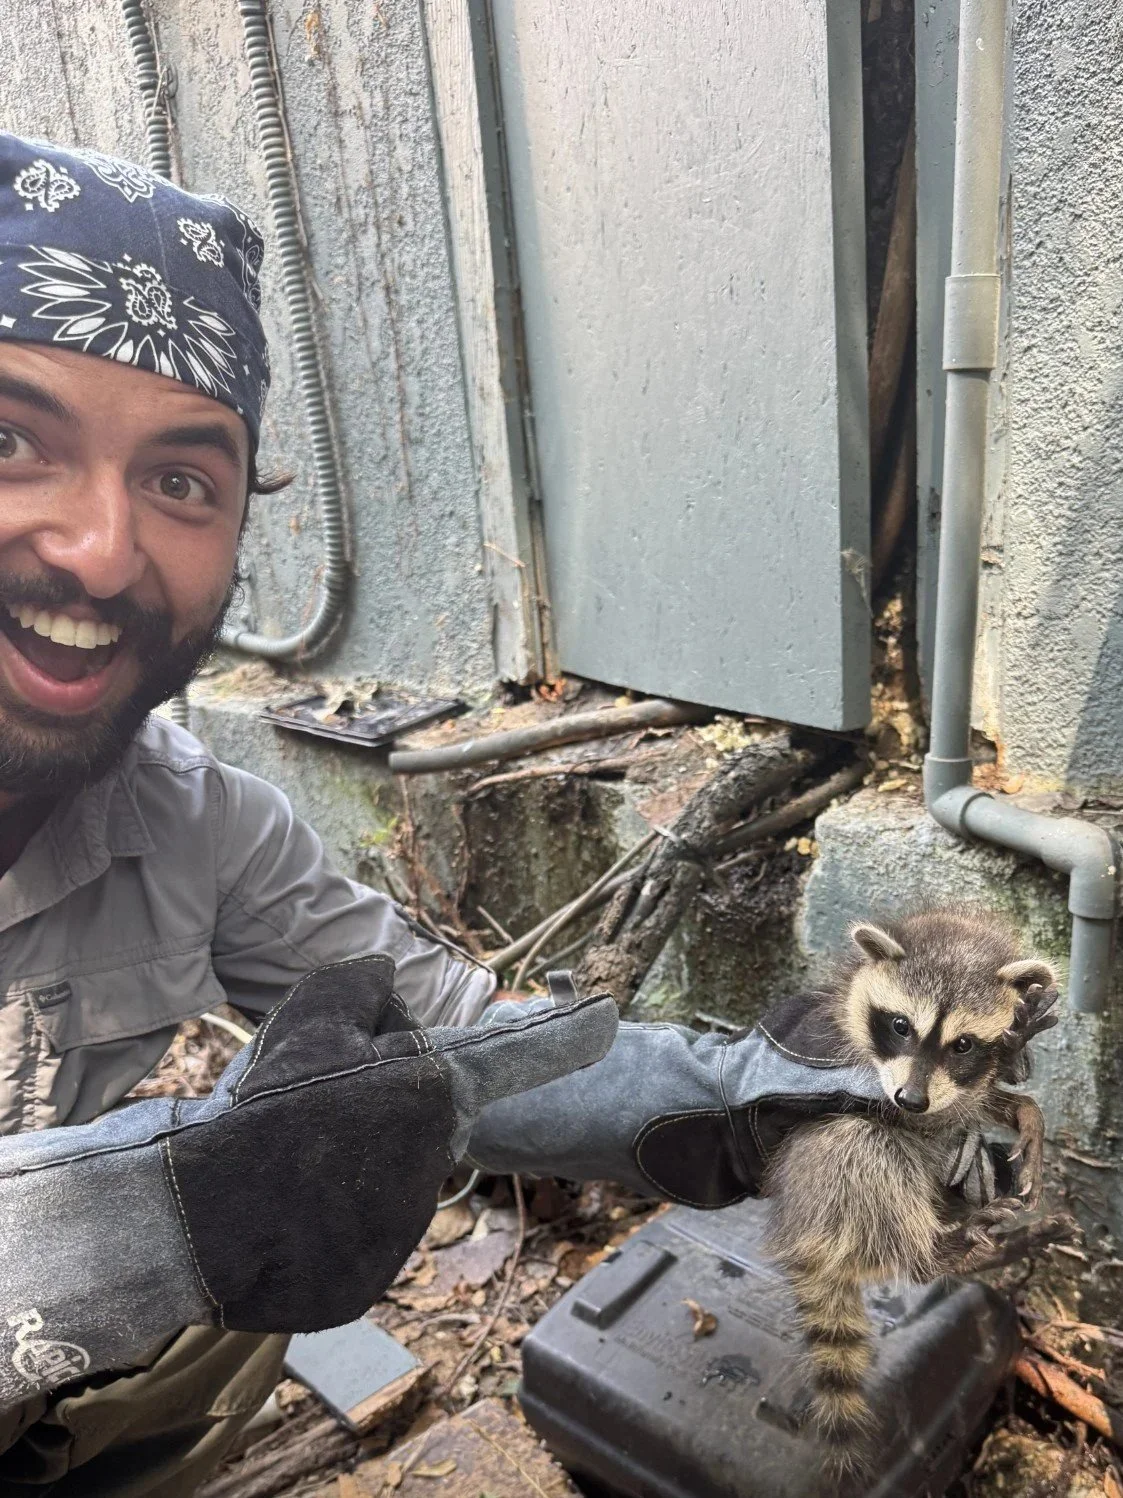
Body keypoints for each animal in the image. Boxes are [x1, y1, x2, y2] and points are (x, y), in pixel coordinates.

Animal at [764, 908, 1057, 1472]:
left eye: (963, 1043)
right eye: (901, 1026)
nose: (912, 1098)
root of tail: (801, 1224)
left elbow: (971, 1099)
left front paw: (1022, 1105)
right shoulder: (840, 1060)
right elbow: (898, 1122)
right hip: (823, 1167)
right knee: (862, 1146)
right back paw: (939, 1250)